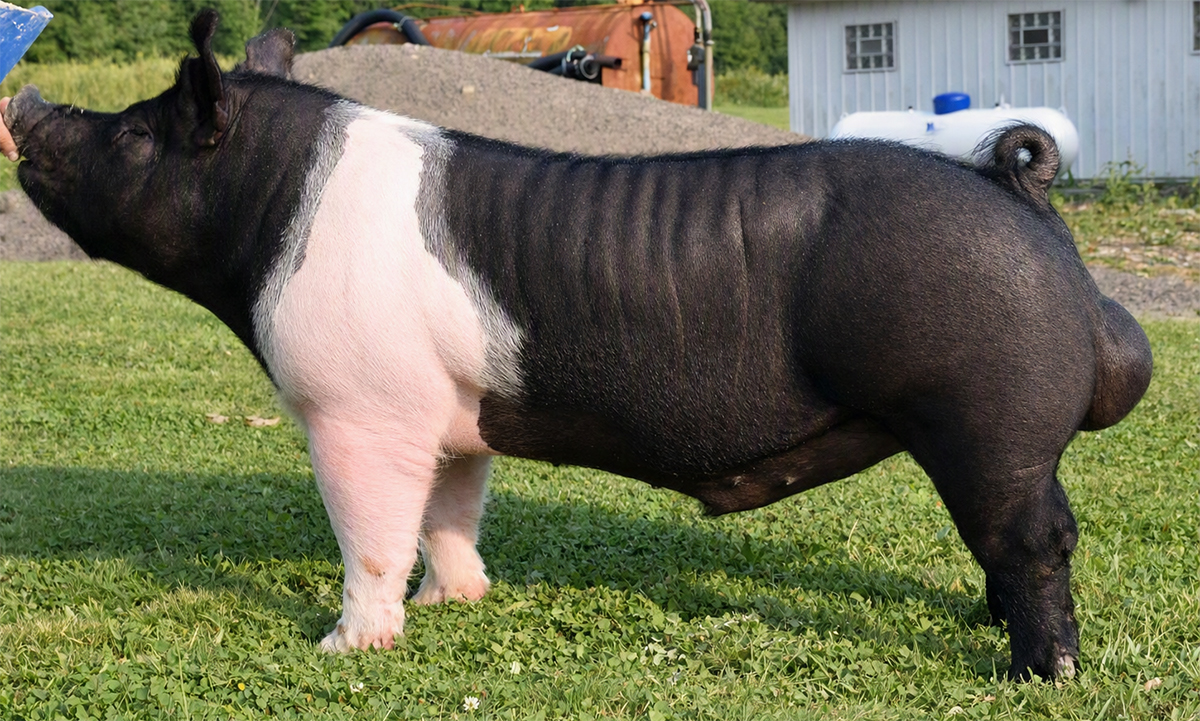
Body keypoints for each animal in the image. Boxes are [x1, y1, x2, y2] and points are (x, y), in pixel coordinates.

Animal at [2, 11, 1151, 681]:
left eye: (139, 132)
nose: (27, 101)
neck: (273, 210)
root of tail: (1019, 190)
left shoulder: (358, 409)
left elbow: (370, 529)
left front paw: (344, 645)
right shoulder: (445, 410)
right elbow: (450, 511)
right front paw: (455, 600)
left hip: (988, 413)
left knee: (1038, 540)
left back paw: (1035, 674)